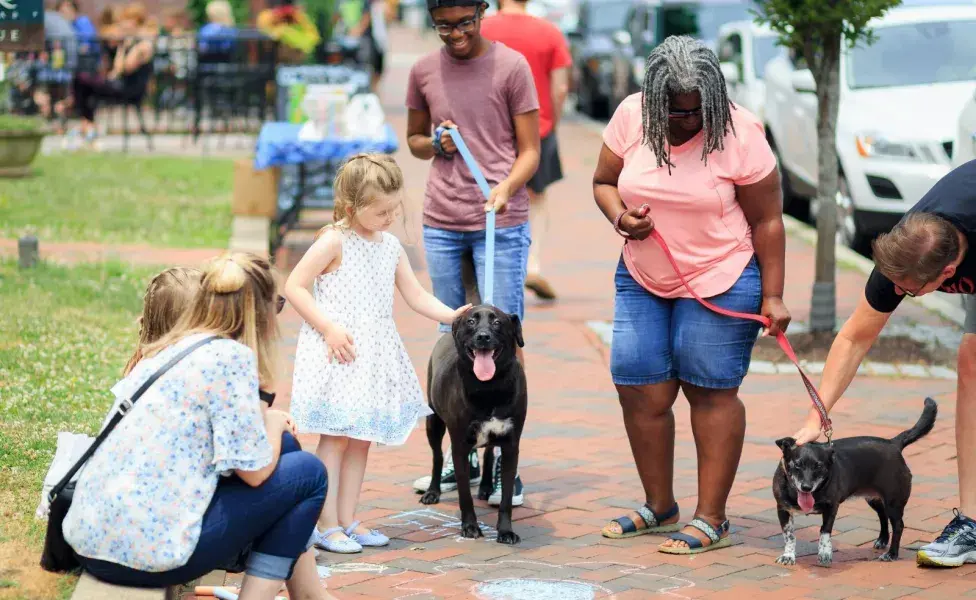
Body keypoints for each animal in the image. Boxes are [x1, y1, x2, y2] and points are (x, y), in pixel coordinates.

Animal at [420, 304, 528, 544]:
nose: (483, 336)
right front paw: (469, 527)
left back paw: (486, 487)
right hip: (433, 422)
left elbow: (506, 497)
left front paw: (505, 531)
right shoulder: (460, 446)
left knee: (488, 453)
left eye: (497, 322)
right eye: (471, 321)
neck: (489, 387)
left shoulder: (511, 445)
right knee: (436, 457)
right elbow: (464, 495)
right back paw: (432, 491)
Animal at [772, 398, 936, 568]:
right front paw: (788, 556)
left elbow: (824, 532)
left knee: (898, 525)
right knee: (882, 515)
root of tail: (894, 443)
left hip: (893, 502)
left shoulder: (831, 508)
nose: (806, 487)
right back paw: (882, 540)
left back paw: (892, 554)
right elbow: (789, 536)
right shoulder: (782, 509)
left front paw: (825, 554)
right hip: (874, 499)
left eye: (819, 466)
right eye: (797, 465)